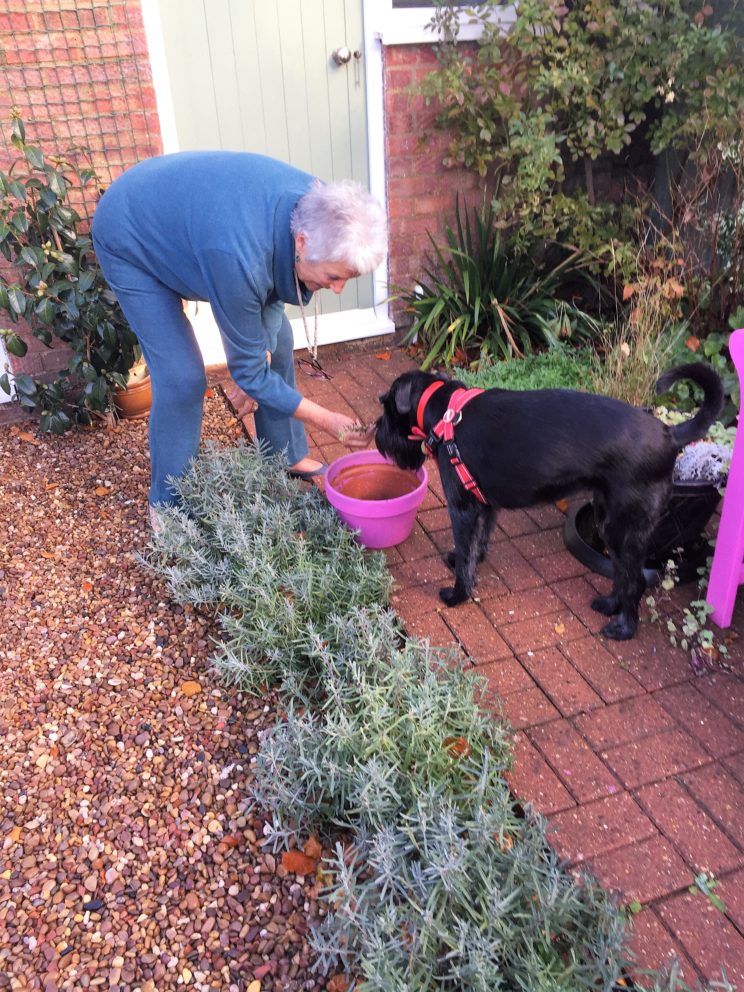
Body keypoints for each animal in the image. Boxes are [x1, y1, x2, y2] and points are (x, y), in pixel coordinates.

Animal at [374, 366, 724, 644]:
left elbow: (465, 556)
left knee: (635, 580)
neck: (446, 412)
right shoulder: (484, 507)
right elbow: (477, 544)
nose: (376, 435)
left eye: (386, 407)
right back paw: (609, 605)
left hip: (623, 526)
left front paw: (458, 594)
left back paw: (623, 629)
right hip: (609, 522)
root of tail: (670, 433)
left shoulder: (461, 508)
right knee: (624, 574)